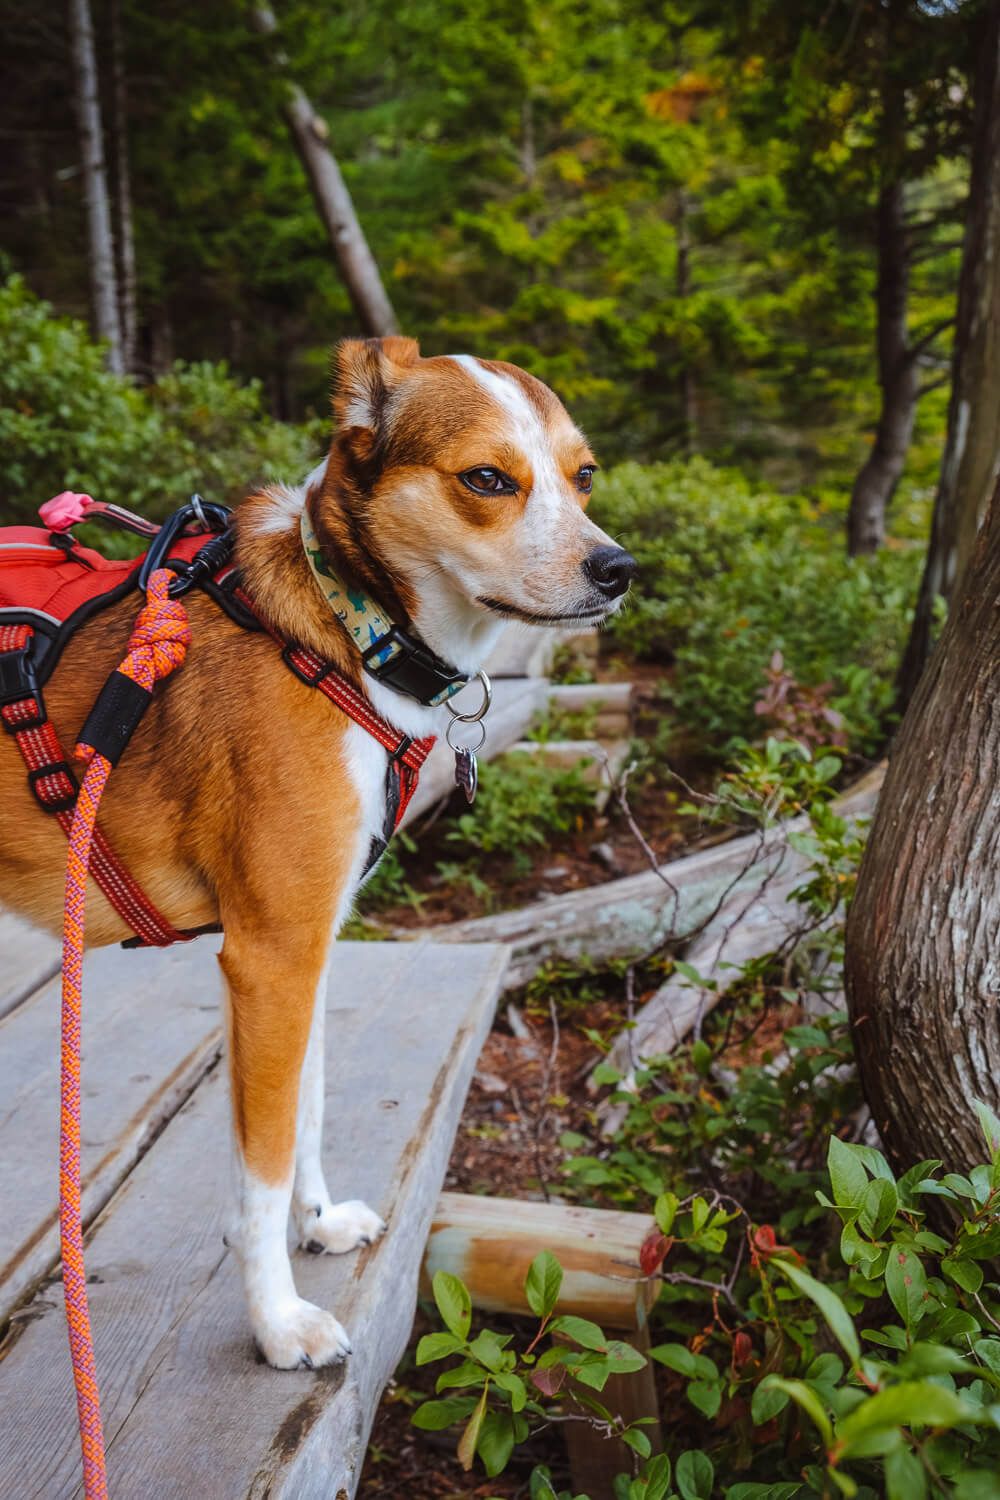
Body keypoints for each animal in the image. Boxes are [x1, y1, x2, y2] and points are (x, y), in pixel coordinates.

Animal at [0, 340, 638, 1374]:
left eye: (583, 476)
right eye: (487, 480)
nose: (619, 569)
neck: (342, 629)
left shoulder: (306, 952)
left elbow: (302, 1110)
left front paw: (319, 1221)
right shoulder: (271, 959)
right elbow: (257, 1173)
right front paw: (276, 1319)